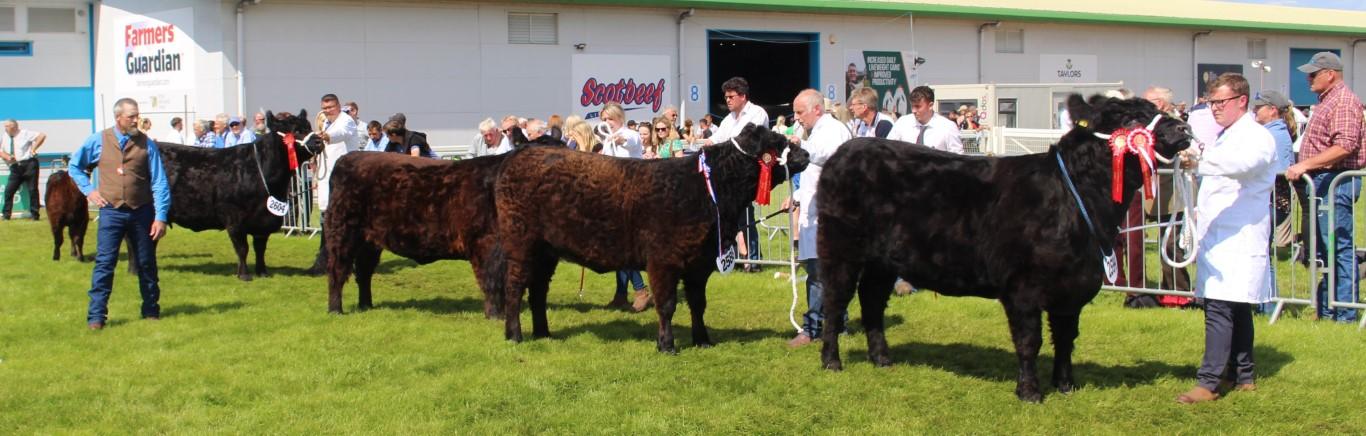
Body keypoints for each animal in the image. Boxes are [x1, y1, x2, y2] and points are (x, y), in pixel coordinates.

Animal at [814, 95, 1191, 404]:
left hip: (884, 260)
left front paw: (1065, 385)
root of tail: (847, 150)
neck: (1076, 199)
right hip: (839, 249)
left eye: (1156, 109)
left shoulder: (1072, 287)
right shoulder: (1022, 286)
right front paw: (1030, 392)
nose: (1184, 126)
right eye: (1131, 119)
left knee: (872, 301)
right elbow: (1029, 341)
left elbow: (1066, 338)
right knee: (835, 302)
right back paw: (831, 360)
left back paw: (882, 359)